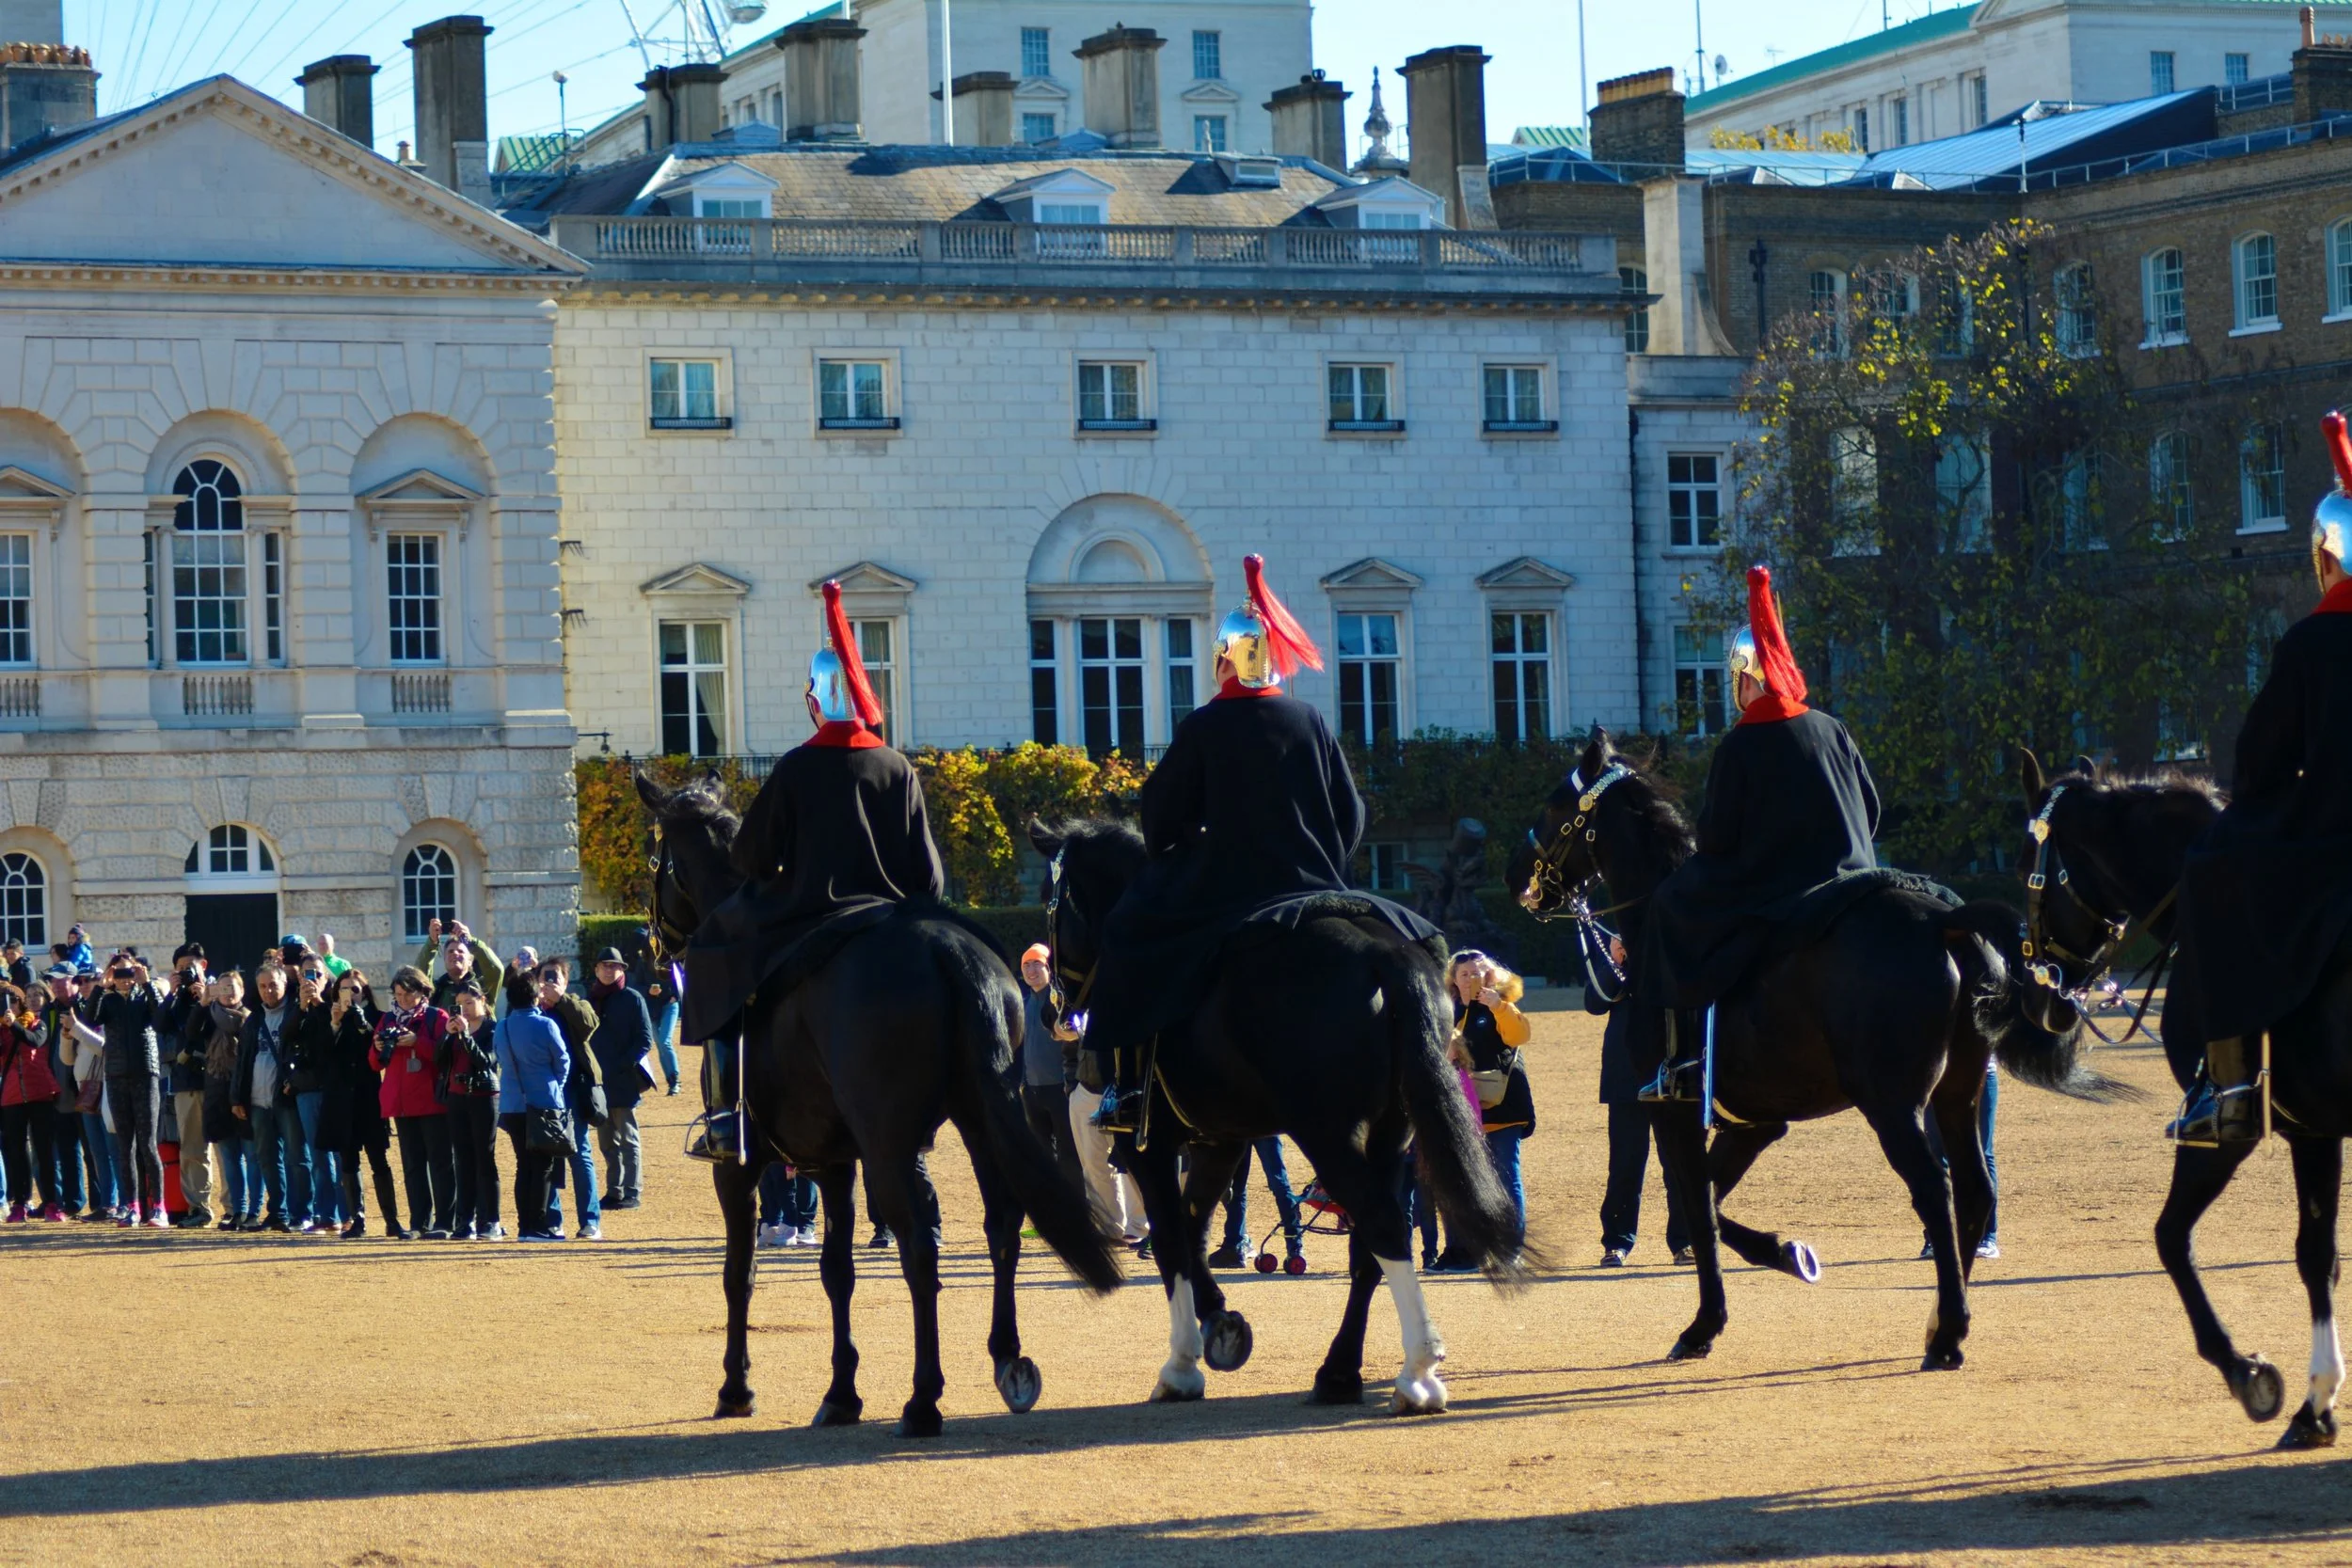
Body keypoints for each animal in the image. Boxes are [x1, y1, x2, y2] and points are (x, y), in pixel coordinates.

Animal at [640, 770, 1124, 1438]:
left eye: (654, 857)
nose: (654, 943)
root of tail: (947, 950)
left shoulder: (739, 1169)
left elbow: (740, 1273)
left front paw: (736, 1387)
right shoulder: (835, 1163)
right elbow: (836, 1272)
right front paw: (842, 1391)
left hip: (891, 1147)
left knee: (920, 1245)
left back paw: (924, 1399)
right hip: (978, 1122)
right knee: (1001, 1224)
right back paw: (1008, 1359)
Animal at [1035, 817, 1524, 1419]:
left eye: (1051, 901)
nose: (1054, 1012)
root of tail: (1382, 954)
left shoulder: (1147, 1145)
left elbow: (1172, 1237)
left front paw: (1184, 1361)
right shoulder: (1218, 1141)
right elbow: (1193, 1230)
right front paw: (1219, 1322)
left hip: (1326, 1134)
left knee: (1384, 1224)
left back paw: (1417, 1371)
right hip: (1389, 1135)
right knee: (1371, 1245)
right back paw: (1341, 1372)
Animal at [1515, 728, 2126, 1363]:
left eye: (1555, 805)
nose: (1517, 877)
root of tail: (1943, 920)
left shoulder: (1675, 1110)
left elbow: (1698, 1207)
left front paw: (1708, 1320)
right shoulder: (1753, 1124)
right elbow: (1709, 1200)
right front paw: (1783, 1253)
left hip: (1892, 1106)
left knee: (1936, 1191)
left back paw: (1948, 1331)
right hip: (1956, 1095)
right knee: (1975, 1191)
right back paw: (1941, 1318)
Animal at [2023, 747, 2352, 1448]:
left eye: (2024, 865)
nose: (2041, 996)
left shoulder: (2228, 1134)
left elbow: (2172, 1237)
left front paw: (2249, 1373)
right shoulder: (2316, 1129)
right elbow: (2319, 1254)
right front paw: (2315, 1402)